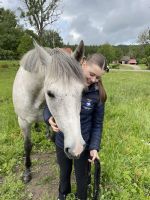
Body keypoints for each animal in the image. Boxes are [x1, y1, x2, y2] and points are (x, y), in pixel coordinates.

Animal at [12, 40, 86, 183]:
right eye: (50, 93)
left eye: (82, 92)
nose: (77, 149)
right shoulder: (22, 121)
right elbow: (27, 145)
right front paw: (27, 171)